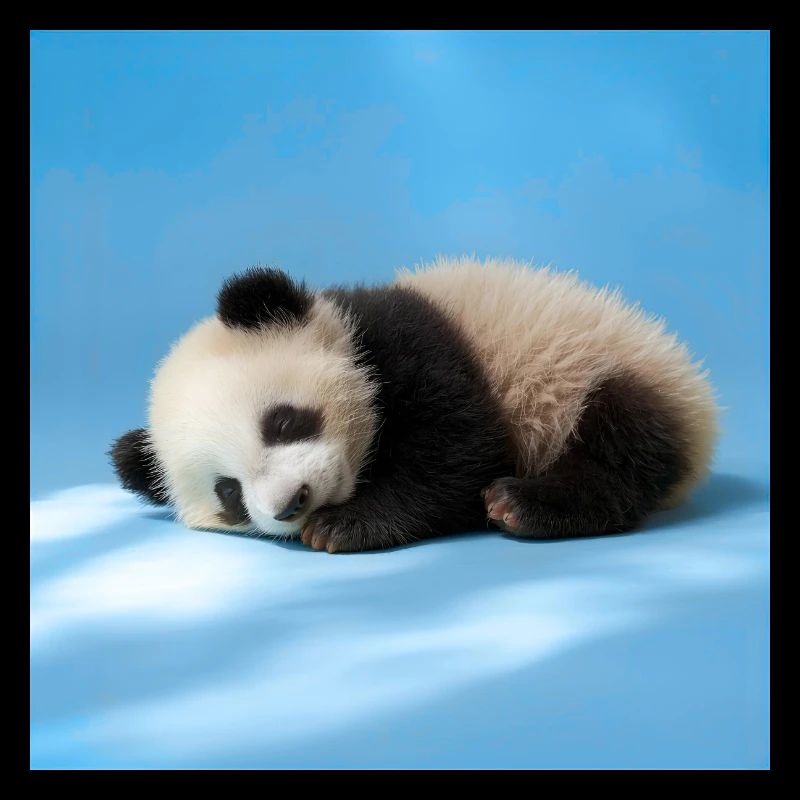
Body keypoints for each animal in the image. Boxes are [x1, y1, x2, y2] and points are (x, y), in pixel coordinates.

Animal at [110, 256, 718, 553]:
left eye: (282, 422)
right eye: (228, 493)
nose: (292, 504)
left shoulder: (413, 340)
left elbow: (458, 447)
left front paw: (344, 526)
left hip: (600, 369)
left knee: (621, 442)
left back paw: (525, 503)